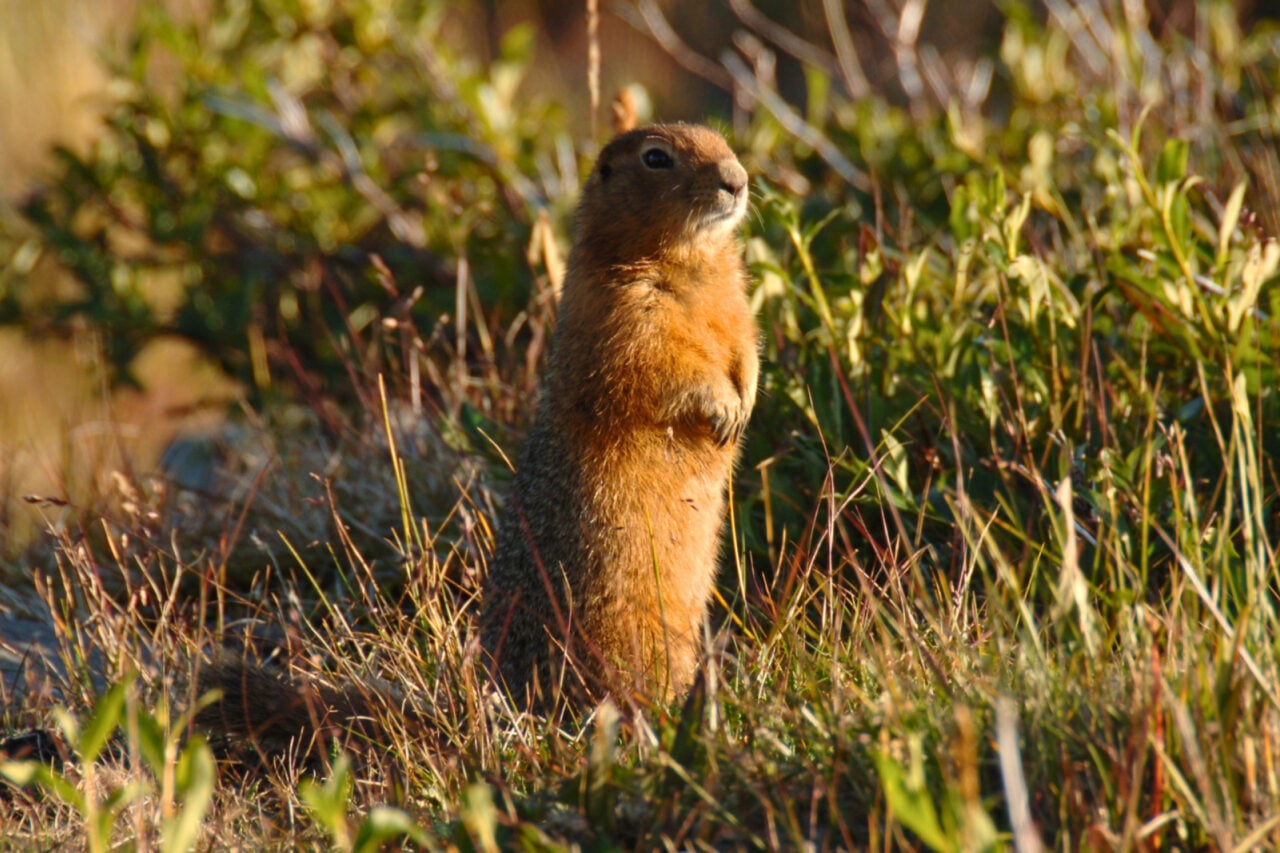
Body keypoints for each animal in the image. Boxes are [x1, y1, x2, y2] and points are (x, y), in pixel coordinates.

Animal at [192, 122, 758, 753]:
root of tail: (492, 701)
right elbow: (663, 367)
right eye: (656, 158)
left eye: (721, 140)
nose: (737, 180)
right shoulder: (627, 313)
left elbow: (745, 345)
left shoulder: (735, 303)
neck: (689, 262)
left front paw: (745, 401)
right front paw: (722, 407)